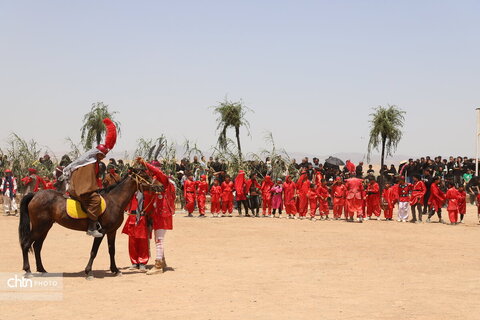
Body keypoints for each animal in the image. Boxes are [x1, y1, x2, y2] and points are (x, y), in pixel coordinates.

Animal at [18, 169, 152, 278]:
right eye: (145, 175)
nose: (157, 186)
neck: (114, 201)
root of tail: (35, 194)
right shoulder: (101, 232)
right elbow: (94, 251)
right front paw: (88, 271)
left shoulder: (111, 232)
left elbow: (112, 250)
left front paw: (115, 270)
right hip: (39, 227)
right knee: (26, 244)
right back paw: (28, 270)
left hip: (45, 227)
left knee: (37, 246)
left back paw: (42, 269)